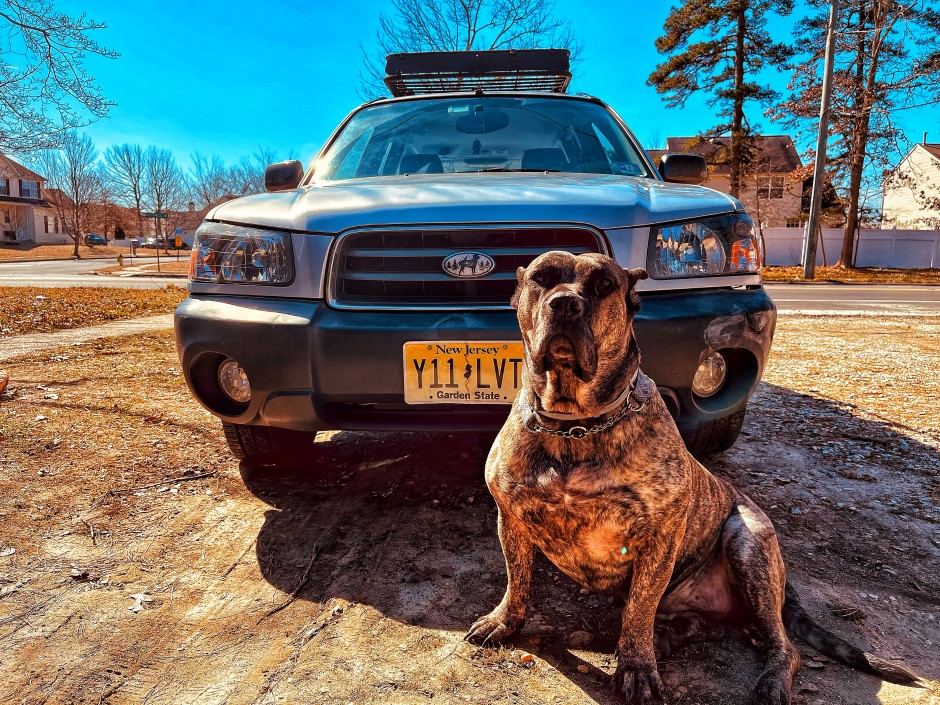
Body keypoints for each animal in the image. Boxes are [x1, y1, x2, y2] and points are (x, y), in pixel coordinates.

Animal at [466, 252, 920, 704]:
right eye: (541, 278)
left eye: (603, 285)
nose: (564, 304)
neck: (573, 426)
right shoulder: (512, 519)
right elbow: (518, 579)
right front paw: (504, 620)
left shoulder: (659, 538)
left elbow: (638, 609)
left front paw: (636, 666)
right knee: (706, 626)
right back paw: (670, 637)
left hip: (746, 541)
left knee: (784, 646)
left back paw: (768, 679)